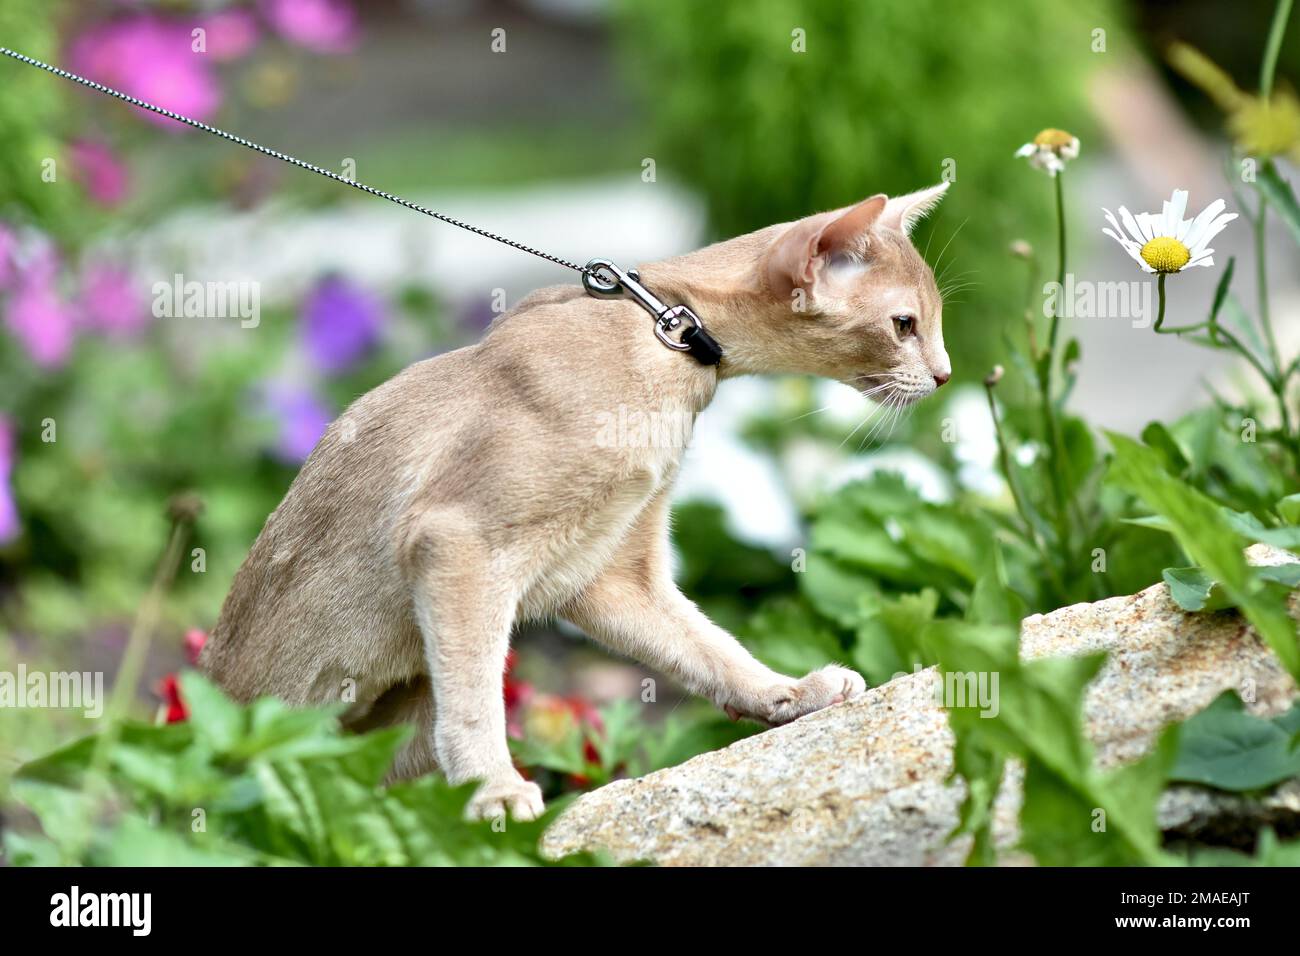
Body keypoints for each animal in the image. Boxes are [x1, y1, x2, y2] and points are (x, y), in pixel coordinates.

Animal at [200, 180, 956, 822]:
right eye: (904, 325)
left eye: (933, 322)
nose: (946, 375)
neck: (666, 337)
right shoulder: (458, 542)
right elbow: (475, 697)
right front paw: (496, 790)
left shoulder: (613, 575)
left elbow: (707, 646)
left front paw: (788, 693)